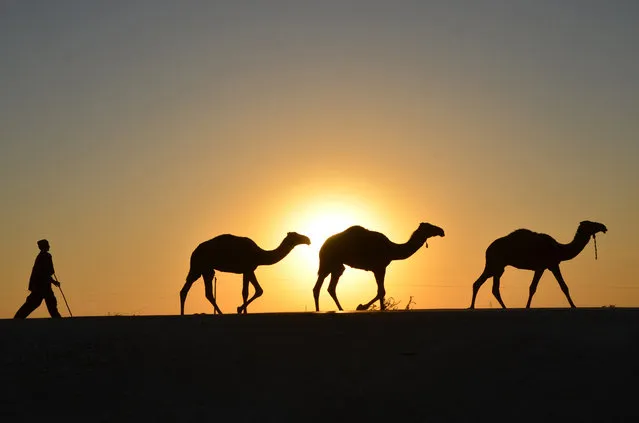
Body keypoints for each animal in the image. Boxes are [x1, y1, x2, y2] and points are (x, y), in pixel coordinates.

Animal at [180, 232, 310, 314]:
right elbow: (251, 291)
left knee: (194, 290)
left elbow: (251, 291)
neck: (260, 254)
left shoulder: (248, 269)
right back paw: (220, 313)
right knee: (198, 290)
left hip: (203, 269)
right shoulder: (248, 268)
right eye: (296, 235)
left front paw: (242, 310)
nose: (308, 240)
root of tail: (194, 251)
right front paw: (239, 310)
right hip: (200, 266)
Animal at [312, 224, 444, 314]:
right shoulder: (379, 267)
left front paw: (370, 307)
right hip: (328, 262)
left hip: (337, 265)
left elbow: (381, 291)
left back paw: (339, 308)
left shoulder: (379, 268)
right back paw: (321, 310)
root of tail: (323, 245)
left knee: (330, 287)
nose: (441, 231)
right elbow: (381, 291)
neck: (391, 249)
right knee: (318, 287)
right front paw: (363, 306)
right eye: (429, 226)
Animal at [470, 220, 608, 310]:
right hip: (495, 264)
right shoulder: (552, 264)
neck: (559, 249)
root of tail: (487, 249)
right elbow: (563, 286)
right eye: (591, 224)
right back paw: (477, 307)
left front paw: (527, 306)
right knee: (484, 284)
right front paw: (574, 306)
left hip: (496, 267)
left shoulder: (541, 267)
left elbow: (533, 288)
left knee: (488, 286)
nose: (604, 226)